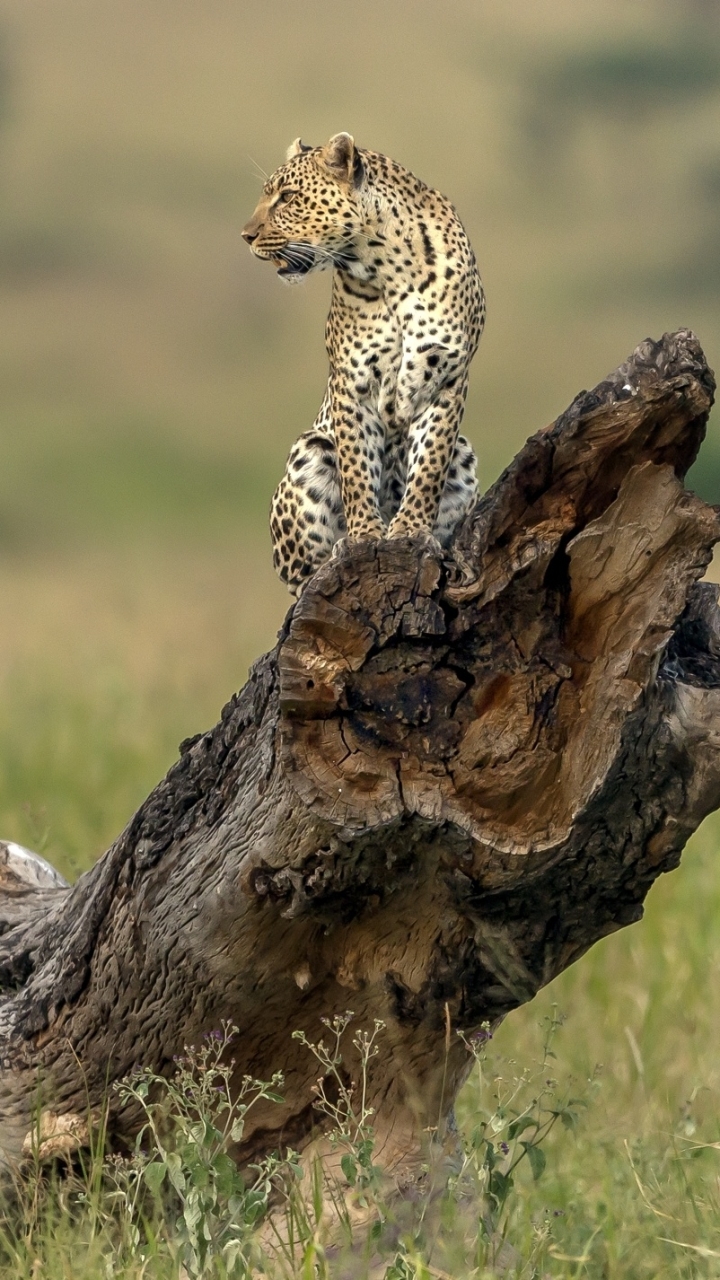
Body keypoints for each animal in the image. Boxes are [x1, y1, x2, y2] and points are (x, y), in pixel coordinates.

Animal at [240, 132, 481, 591]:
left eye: (288, 197)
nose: (245, 235)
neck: (388, 266)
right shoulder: (352, 381)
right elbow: (356, 466)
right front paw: (365, 535)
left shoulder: (448, 377)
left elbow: (429, 465)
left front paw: (409, 529)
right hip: (310, 448)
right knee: (300, 581)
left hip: (464, 452)